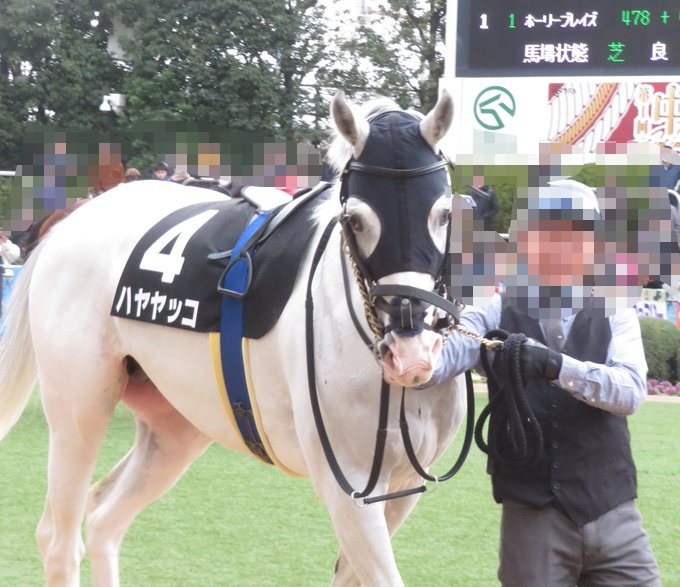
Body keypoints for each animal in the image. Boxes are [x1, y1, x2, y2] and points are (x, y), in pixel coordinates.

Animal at [0, 90, 465, 586]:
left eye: (442, 213)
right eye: (356, 220)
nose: (412, 353)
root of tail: (69, 222)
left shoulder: (402, 488)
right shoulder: (348, 486)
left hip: (176, 424)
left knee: (106, 516)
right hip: (79, 408)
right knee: (59, 539)